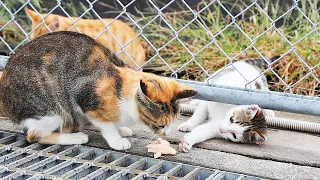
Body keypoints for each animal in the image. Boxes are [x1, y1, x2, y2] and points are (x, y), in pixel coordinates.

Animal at [0, 31, 198, 150]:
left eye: (172, 123)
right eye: (161, 125)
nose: (166, 134)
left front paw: (122, 129)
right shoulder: (88, 101)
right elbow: (106, 125)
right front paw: (117, 140)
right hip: (50, 110)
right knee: (34, 135)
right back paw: (75, 137)